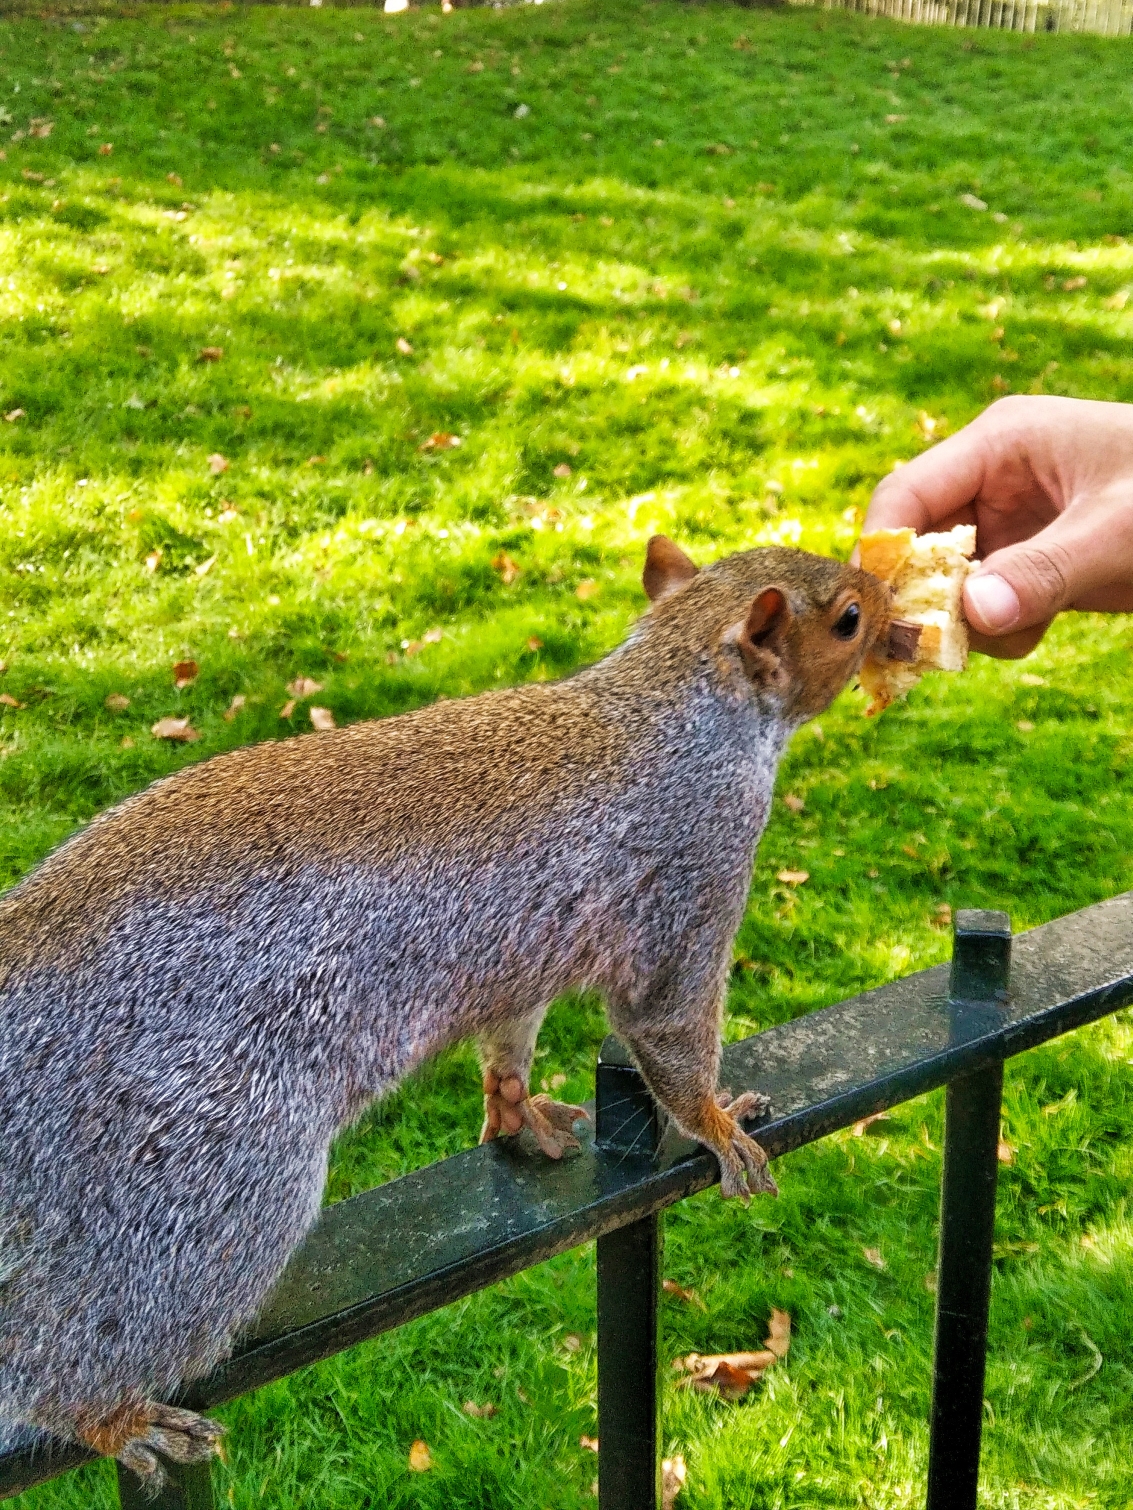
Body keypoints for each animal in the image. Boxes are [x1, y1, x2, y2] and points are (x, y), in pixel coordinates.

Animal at [0, 540, 894, 1485]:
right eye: (846, 619)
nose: (890, 600)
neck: (671, 701)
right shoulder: (692, 880)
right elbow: (668, 1029)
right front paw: (720, 1124)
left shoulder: (521, 961)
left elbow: (510, 1039)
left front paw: (513, 1106)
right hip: (204, 1179)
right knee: (66, 1347)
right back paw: (109, 1418)